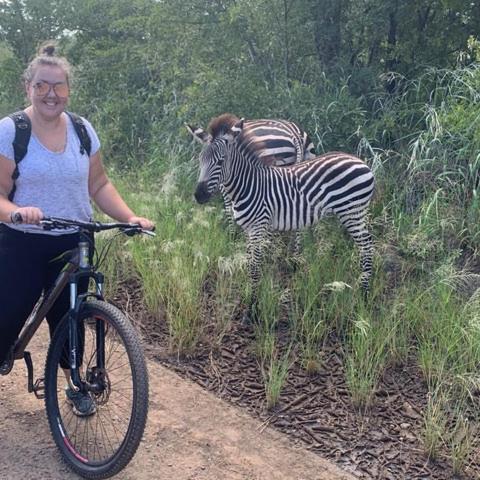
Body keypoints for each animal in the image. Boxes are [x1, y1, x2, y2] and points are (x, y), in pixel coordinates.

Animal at [186, 113, 315, 234]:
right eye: (200, 160)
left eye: (220, 162)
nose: (199, 195)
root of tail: (295, 134)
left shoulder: (228, 187)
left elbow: (230, 211)